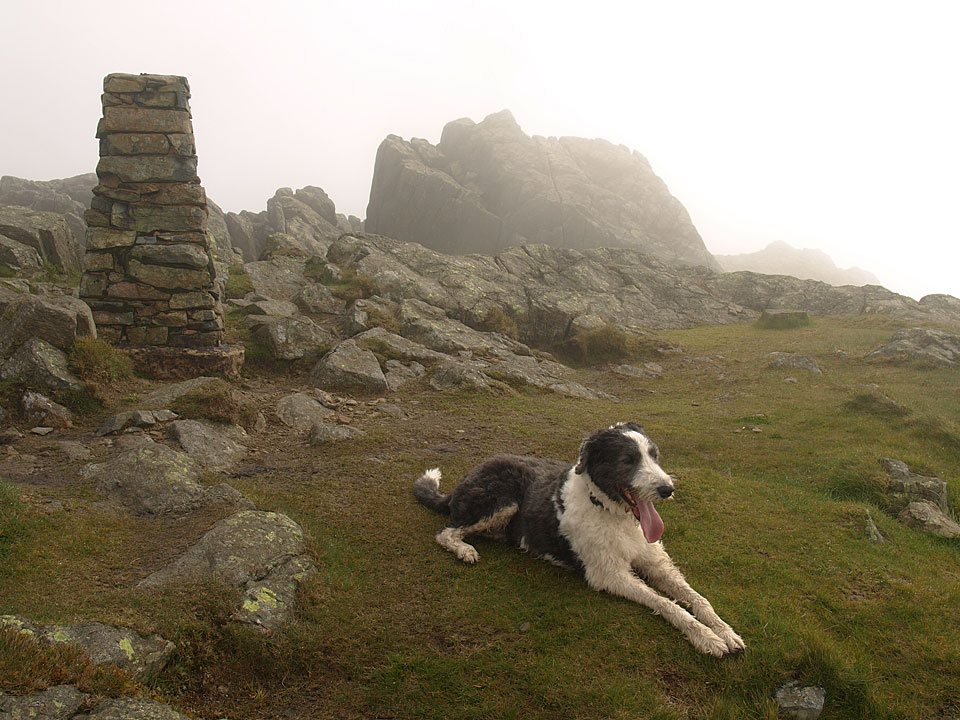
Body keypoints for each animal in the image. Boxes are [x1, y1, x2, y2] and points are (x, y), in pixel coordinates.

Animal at [414, 421, 745, 657]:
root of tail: (464, 481)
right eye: (627, 460)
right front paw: (706, 638)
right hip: (500, 499)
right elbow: (666, 603)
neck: (611, 512)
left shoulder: (655, 562)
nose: (667, 489)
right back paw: (465, 550)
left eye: (654, 455)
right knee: (446, 532)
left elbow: (697, 598)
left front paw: (725, 632)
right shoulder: (609, 574)